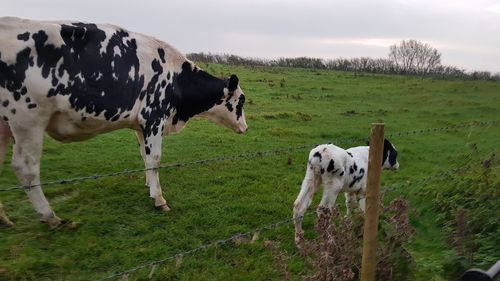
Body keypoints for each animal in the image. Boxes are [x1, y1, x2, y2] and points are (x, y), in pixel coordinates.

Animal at [0, 17, 249, 226]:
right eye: (241, 100)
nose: (245, 127)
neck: (176, 77)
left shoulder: (141, 125)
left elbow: (145, 157)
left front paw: (148, 185)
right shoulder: (153, 117)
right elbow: (155, 158)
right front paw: (158, 198)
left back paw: (4, 219)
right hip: (28, 120)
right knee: (26, 168)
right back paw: (50, 217)